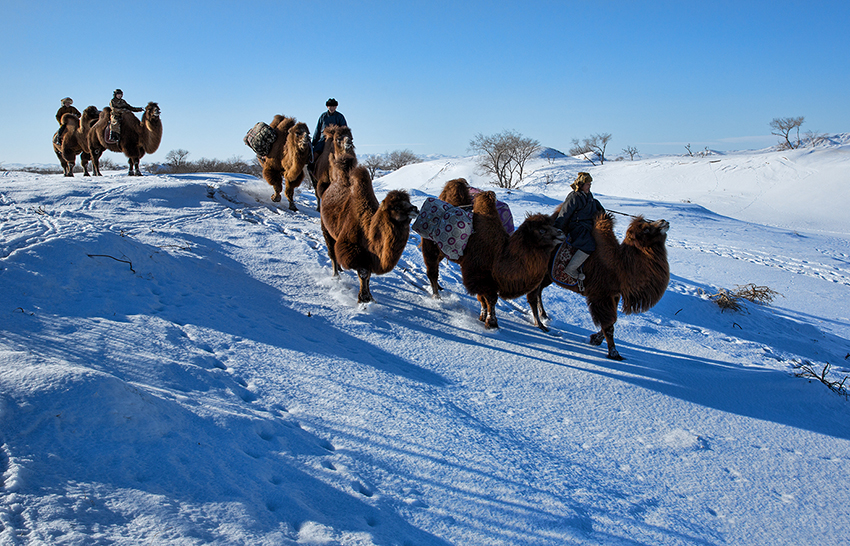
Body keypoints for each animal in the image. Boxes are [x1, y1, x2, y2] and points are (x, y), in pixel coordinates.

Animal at [320, 164, 420, 304]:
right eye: (397, 207)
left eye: (409, 202)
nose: (415, 209)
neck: (368, 232)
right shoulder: (354, 251)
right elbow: (363, 274)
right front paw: (364, 299)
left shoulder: (371, 256)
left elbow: (368, 276)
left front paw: (370, 298)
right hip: (325, 227)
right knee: (332, 252)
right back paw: (336, 276)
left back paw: (339, 269)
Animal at [524, 212, 668, 362]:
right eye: (645, 229)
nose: (664, 221)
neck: (620, 266)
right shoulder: (601, 296)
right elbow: (609, 325)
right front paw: (614, 353)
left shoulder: (614, 295)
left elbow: (613, 321)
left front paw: (595, 339)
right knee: (533, 295)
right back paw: (540, 324)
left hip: (547, 276)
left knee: (539, 291)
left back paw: (544, 315)